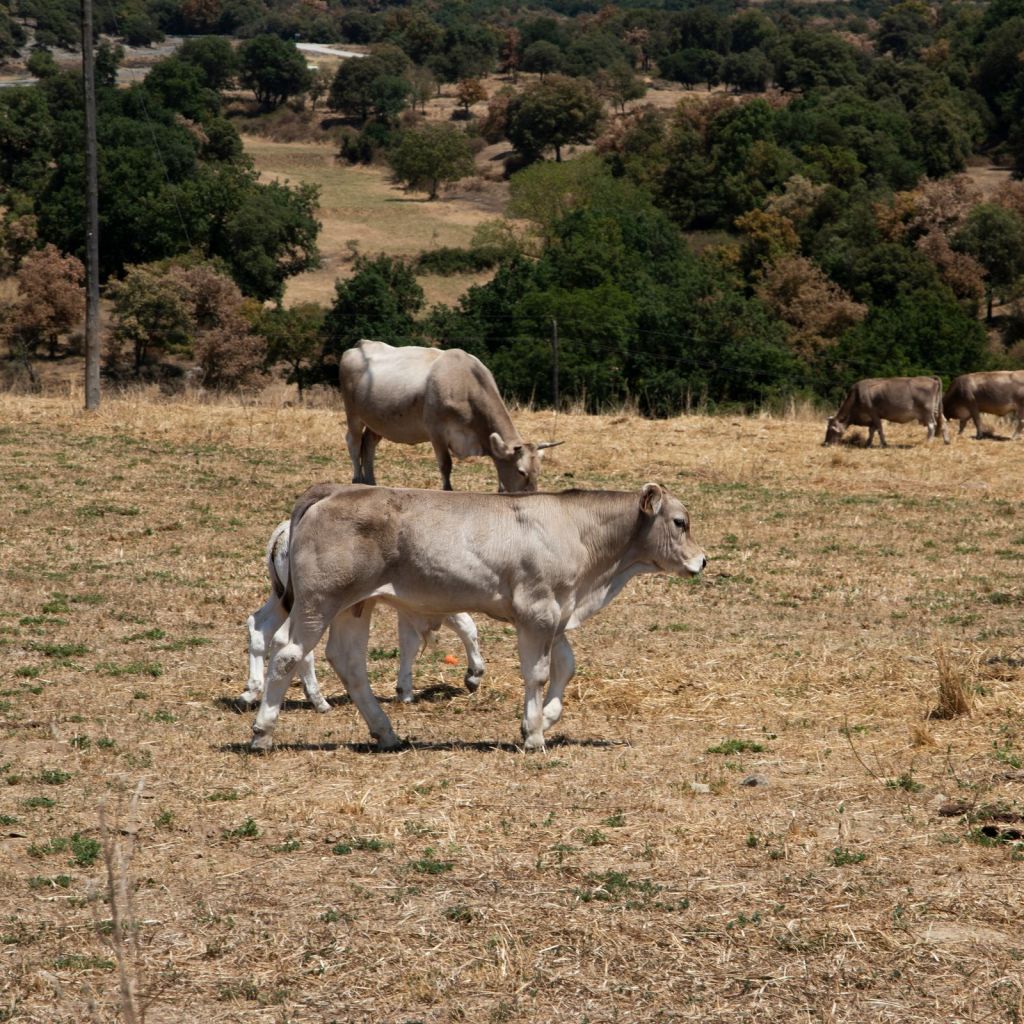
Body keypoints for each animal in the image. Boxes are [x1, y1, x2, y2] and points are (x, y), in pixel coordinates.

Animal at [240, 512, 485, 712]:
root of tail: (282, 533)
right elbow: (467, 626)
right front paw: (474, 674)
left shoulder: (408, 607)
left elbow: (409, 643)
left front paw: (404, 691)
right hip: (313, 607)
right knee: (297, 647)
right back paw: (318, 701)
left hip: (283, 598)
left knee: (260, 625)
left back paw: (251, 691)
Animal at [339, 340, 561, 493]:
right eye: (521, 471)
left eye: (538, 471)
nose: (532, 495)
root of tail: (361, 345)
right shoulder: (436, 431)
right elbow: (446, 465)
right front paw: (447, 491)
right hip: (353, 415)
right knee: (353, 442)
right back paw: (358, 479)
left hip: (377, 421)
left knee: (368, 445)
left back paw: (371, 483)